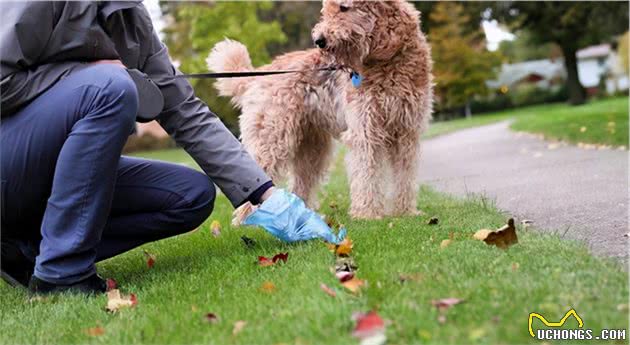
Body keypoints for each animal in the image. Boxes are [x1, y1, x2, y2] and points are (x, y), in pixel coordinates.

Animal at [207, 0, 434, 218]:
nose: (320, 40)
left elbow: (405, 176)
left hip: (311, 147)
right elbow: (367, 174)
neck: (388, 57)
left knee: (300, 183)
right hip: (271, 137)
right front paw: (368, 214)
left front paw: (405, 212)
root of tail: (256, 76)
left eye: (343, 7)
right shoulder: (365, 130)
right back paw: (248, 220)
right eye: (326, 10)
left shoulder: (407, 131)